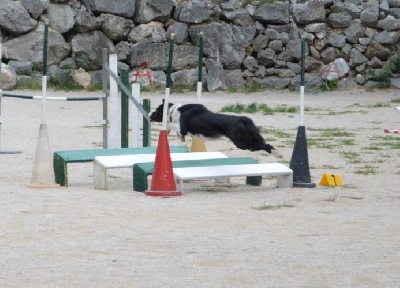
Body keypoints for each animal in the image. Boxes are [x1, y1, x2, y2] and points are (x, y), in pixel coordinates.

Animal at [148, 101, 282, 159]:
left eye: (157, 110)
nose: (148, 115)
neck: (173, 110)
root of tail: (243, 119)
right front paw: (178, 137)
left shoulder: (182, 127)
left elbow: (170, 125)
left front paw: (169, 130)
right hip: (248, 138)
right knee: (264, 143)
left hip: (242, 143)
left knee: (264, 145)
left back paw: (277, 154)